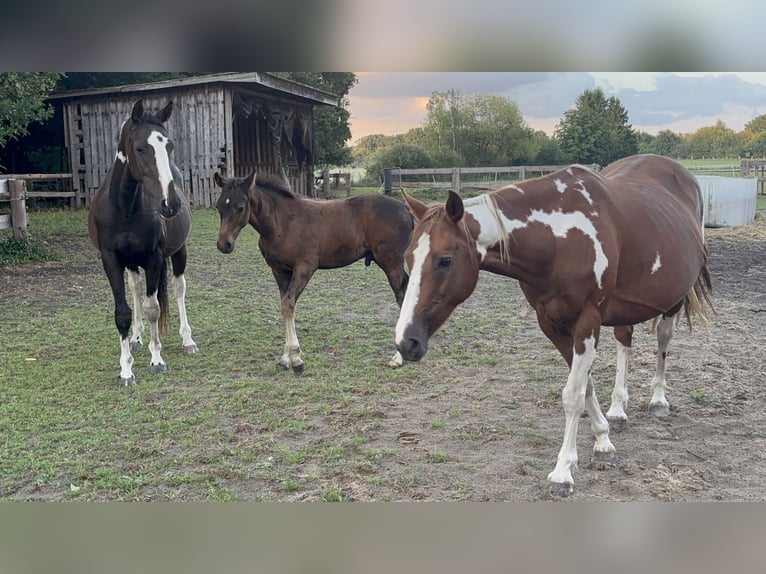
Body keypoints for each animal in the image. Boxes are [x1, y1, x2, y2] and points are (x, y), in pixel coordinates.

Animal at [88, 99, 199, 386]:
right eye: (139, 148)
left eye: (169, 145)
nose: (170, 204)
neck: (125, 207)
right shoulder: (111, 259)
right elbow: (123, 312)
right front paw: (126, 369)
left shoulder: (154, 257)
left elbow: (153, 308)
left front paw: (157, 359)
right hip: (131, 263)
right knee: (136, 290)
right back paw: (137, 338)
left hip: (178, 252)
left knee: (178, 289)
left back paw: (187, 340)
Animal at [214, 171, 413, 372]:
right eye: (218, 206)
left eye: (240, 207)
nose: (224, 244)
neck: (282, 223)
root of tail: (404, 207)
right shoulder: (279, 270)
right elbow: (285, 305)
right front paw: (286, 359)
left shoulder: (304, 267)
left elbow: (288, 304)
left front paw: (296, 359)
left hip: (392, 264)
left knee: (401, 296)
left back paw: (398, 357)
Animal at [393, 154, 713, 497]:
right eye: (408, 257)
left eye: (445, 260)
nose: (406, 342)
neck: (559, 238)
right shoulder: (551, 323)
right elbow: (586, 386)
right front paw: (603, 441)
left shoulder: (587, 320)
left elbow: (573, 395)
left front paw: (563, 472)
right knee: (623, 340)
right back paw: (618, 410)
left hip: (673, 299)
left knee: (664, 341)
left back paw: (658, 400)